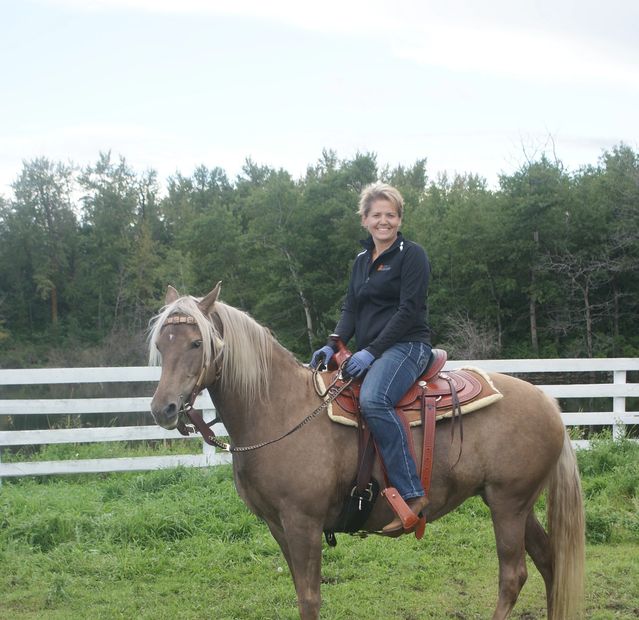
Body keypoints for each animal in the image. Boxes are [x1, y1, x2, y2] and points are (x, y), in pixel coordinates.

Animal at [149, 284, 584, 616]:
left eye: (196, 342)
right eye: (161, 345)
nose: (162, 408)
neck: (279, 409)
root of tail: (548, 402)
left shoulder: (303, 523)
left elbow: (310, 598)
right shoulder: (278, 525)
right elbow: (300, 591)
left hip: (509, 504)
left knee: (513, 576)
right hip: (514, 503)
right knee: (549, 561)